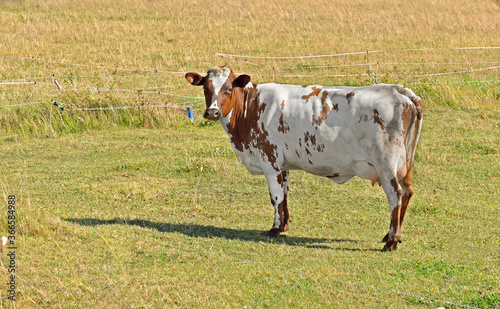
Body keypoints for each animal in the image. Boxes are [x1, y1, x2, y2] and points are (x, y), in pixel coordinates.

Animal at [187, 65, 422, 250]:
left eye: (228, 89)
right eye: (206, 88)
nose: (212, 112)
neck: (251, 108)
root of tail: (400, 92)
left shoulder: (270, 161)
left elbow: (275, 197)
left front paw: (274, 229)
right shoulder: (282, 165)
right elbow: (283, 195)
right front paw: (284, 224)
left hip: (386, 165)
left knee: (395, 196)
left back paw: (391, 241)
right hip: (404, 165)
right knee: (407, 192)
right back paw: (391, 236)